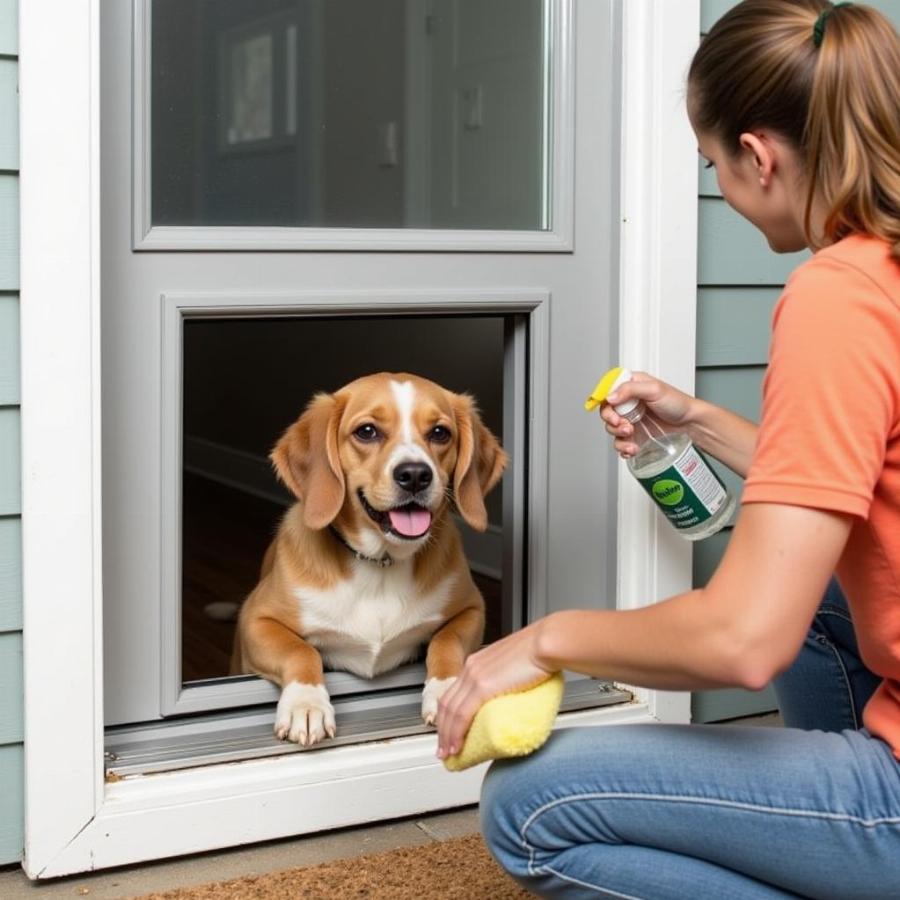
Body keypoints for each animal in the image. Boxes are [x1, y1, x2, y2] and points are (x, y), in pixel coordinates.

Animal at [230, 370, 506, 740]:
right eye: (367, 431)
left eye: (439, 433)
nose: (415, 474)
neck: (381, 564)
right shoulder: (256, 619)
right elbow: (300, 650)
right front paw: (306, 704)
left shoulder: (471, 610)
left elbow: (446, 642)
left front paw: (448, 692)